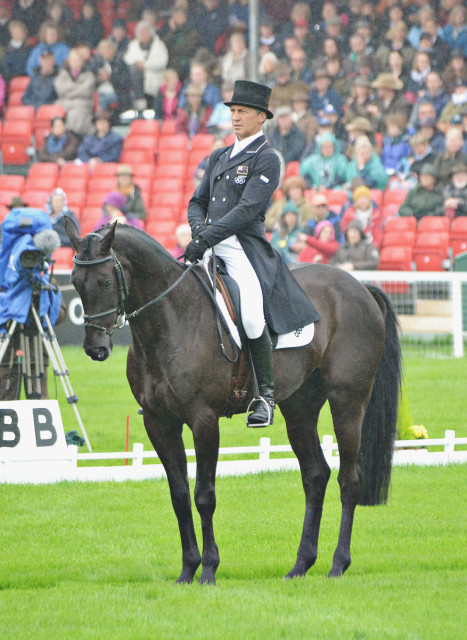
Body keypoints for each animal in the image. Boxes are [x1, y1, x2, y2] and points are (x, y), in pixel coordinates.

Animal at [65, 219, 402, 584]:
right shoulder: (158, 422)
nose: (95, 348)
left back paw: (338, 564)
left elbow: (204, 495)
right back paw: (300, 565)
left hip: (348, 401)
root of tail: (360, 287)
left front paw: (209, 569)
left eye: (103, 280)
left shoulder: (203, 420)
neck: (173, 318)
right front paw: (187, 569)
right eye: (75, 282)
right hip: (300, 408)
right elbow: (179, 495)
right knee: (315, 476)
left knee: (349, 481)